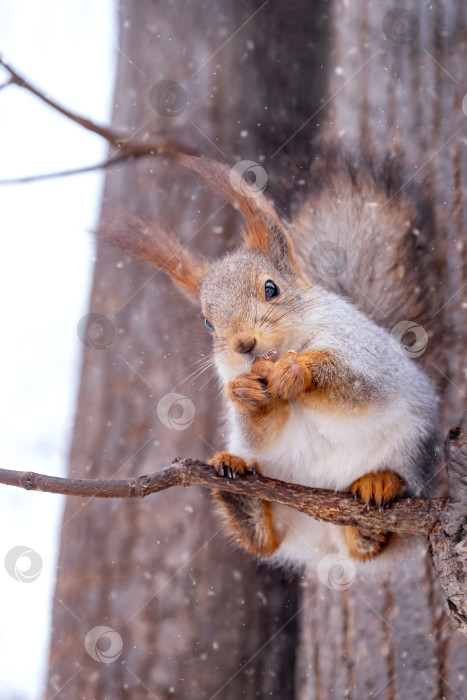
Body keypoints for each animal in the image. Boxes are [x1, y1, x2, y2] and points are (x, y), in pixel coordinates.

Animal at [100, 145, 444, 568]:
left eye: (271, 288)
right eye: (208, 322)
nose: (244, 345)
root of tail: (323, 546)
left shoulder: (364, 354)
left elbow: (357, 387)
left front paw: (298, 370)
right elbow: (258, 429)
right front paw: (246, 393)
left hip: (412, 448)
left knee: (374, 538)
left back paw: (378, 487)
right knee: (267, 542)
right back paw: (237, 489)